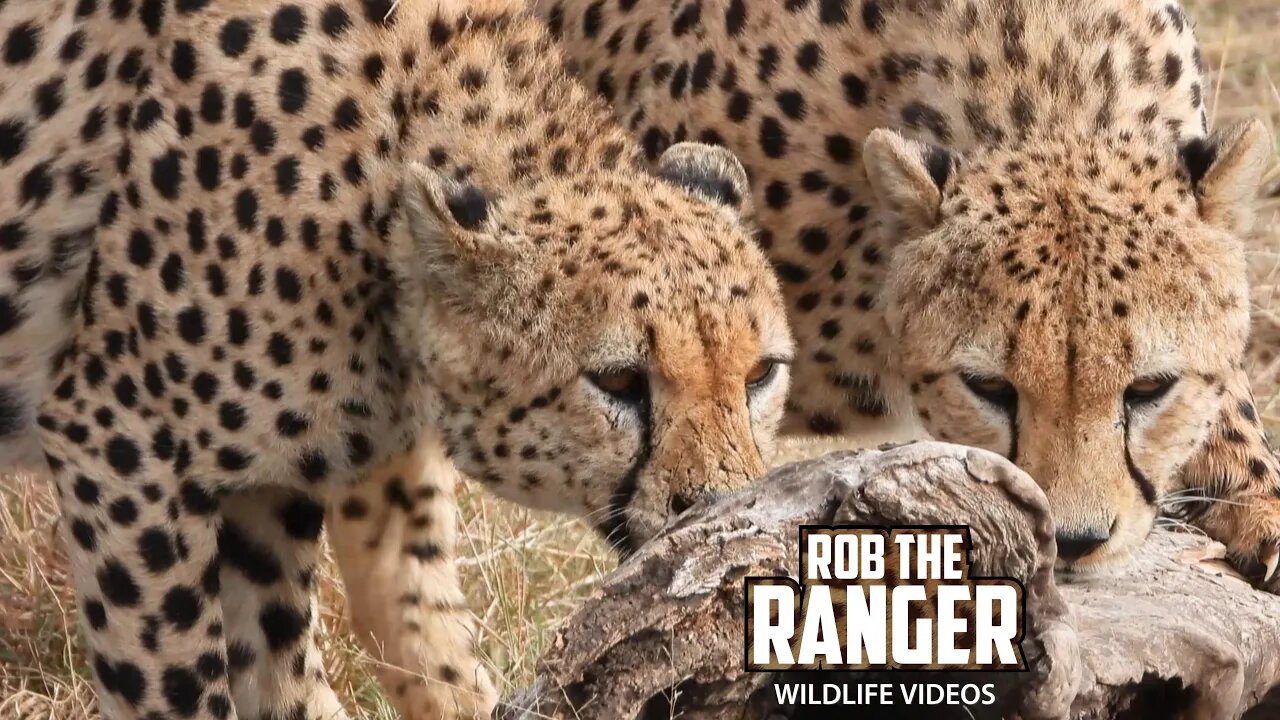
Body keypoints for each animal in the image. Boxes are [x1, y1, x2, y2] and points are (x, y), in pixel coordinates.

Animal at [2, 1, 788, 717]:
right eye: (619, 380)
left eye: (760, 373)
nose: (719, 511)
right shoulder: (120, 446)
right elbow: (178, 685)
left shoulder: (266, 492)